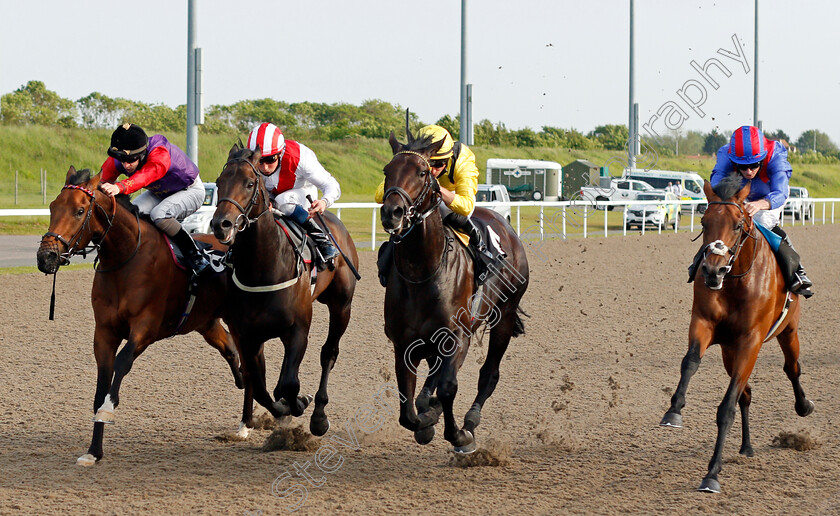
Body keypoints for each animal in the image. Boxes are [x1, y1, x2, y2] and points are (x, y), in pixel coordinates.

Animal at [39, 167, 243, 466]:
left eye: (79, 211)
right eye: (53, 206)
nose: (46, 257)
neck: (125, 258)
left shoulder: (145, 328)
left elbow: (122, 363)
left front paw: (108, 410)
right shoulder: (104, 332)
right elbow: (102, 382)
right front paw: (94, 451)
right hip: (206, 322)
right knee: (230, 349)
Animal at [212, 145, 360, 440]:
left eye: (249, 183)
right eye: (220, 182)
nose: (221, 224)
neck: (264, 268)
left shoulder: (298, 328)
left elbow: (289, 383)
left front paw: (300, 403)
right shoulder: (245, 334)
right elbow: (260, 386)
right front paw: (273, 413)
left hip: (342, 305)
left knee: (329, 353)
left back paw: (319, 416)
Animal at [382, 127, 528, 454]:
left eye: (423, 172)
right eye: (387, 170)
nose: (392, 213)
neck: (422, 272)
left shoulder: (457, 335)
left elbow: (448, 388)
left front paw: (459, 434)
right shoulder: (404, 343)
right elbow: (407, 411)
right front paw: (426, 420)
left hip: (505, 314)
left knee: (489, 374)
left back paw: (470, 419)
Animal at [664, 175, 812, 494]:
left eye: (737, 225)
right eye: (704, 221)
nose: (713, 270)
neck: (735, 281)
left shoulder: (751, 341)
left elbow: (726, 408)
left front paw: (712, 474)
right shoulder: (704, 323)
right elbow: (690, 361)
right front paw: (674, 411)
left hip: (787, 330)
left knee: (791, 368)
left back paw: (804, 405)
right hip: (728, 351)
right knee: (747, 393)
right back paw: (746, 446)